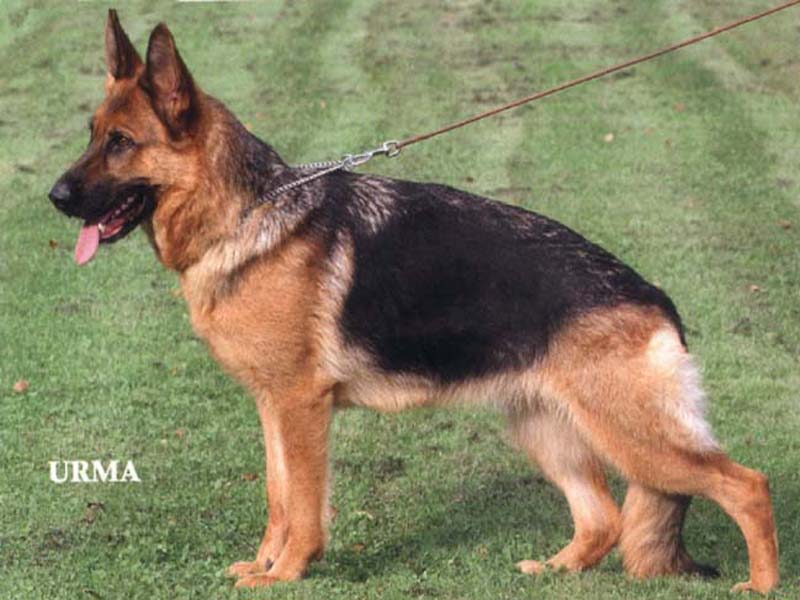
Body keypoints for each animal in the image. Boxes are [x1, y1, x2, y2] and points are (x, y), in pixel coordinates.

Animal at [49, 10, 779, 593]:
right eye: (91, 133)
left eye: (121, 144)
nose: (53, 198)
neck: (245, 212)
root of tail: (655, 297)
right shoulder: (273, 407)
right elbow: (279, 496)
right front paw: (263, 564)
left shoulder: (301, 406)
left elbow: (304, 504)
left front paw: (287, 574)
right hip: (544, 427)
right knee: (604, 520)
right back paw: (555, 570)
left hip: (632, 435)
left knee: (747, 485)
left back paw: (761, 584)